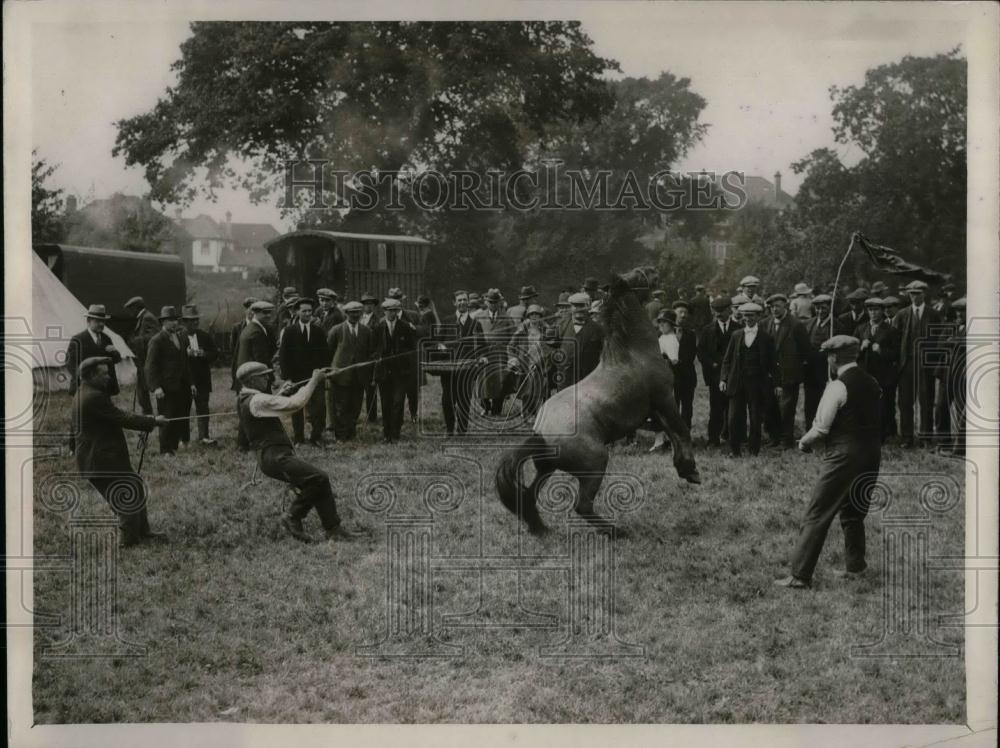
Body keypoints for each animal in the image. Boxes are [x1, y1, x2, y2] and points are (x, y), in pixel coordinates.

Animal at [494, 266, 700, 536]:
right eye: (639, 275)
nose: (654, 271)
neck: (633, 353)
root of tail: (541, 434)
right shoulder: (664, 398)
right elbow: (681, 430)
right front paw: (692, 471)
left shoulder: (655, 408)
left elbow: (670, 433)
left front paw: (683, 468)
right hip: (595, 464)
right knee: (581, 505)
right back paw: (615, 530)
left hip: (547, 468)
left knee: (528, 496)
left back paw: (541, 528)